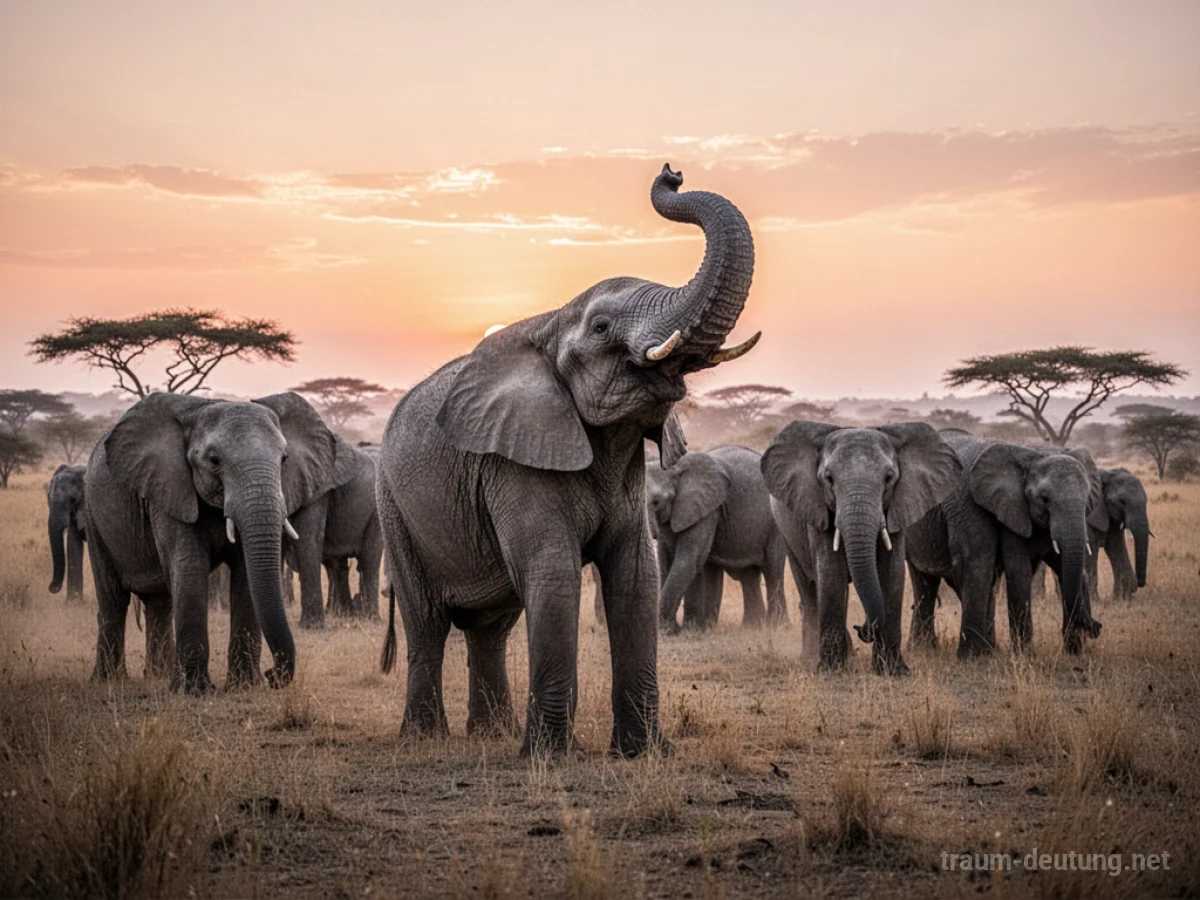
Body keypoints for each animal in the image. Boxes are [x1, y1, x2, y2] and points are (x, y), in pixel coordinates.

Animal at [85, 391, 350, 693]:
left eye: (284, 459)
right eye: (214, 460)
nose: (272, 675)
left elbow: (246, 575)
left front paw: (245, 686)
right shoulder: (171, 490)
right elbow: (189, 567)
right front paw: (196, 692)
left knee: (160, 603)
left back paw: (158, 676)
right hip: (94, 515)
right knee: (113, 599)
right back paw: (108, 680)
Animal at [378, 163, 758, 757]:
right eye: (601, 329)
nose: (671, 173)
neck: (550, 321)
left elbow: (635, 576)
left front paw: (645, 754)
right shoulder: (514, 463)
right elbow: (553, 574)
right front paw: (553, 758)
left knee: (491, 625)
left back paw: (493, 734)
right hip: (394, 507)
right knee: (427, 621)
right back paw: (424, 739)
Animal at [651, 445, 788, 632]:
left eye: (656, 501)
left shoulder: (706, 510)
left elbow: (689, 560)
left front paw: (672, 631)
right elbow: (667, 560)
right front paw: (688, 630)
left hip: (775, 524)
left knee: (773, 569)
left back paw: (777, 627)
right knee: (746, 574)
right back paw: (749, 627)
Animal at [762, 422, 962, 674]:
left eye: (888, 478)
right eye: (829, 479)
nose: (862, 628)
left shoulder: (897, 507)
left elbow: (892, 573)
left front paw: (893, 672)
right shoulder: (818, 510)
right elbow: (831, 573)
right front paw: (831, 672)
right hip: (786, 532)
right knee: (808, 587)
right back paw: (810, 658)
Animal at [906, 431, 1107, 657]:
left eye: (1088, 498)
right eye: (1044, 499)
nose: (1097, 627)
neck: (1032, 454)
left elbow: (1062, 566)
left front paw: (1073, 654)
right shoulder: (994, 507)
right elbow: (1015, 572)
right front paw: (1024, 656)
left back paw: (989, 650)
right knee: (928, 582)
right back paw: (927, 650)